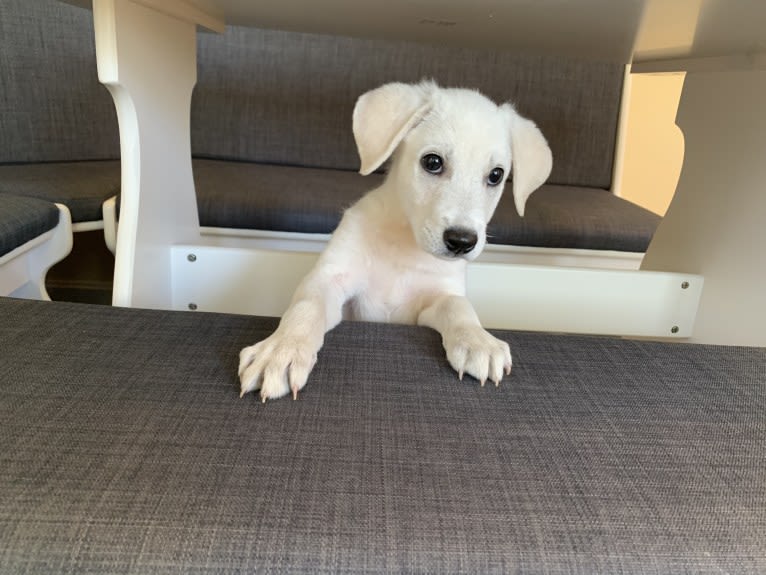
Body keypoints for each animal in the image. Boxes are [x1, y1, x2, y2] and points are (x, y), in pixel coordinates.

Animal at [240, 81, 552, 402]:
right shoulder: (331, 281)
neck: (405, 245)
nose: (461, 241)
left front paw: (478, 341)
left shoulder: (436, 299)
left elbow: (460, 307)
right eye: (432, 162)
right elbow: (305, 309)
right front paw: (281, 350)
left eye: (496, 175)